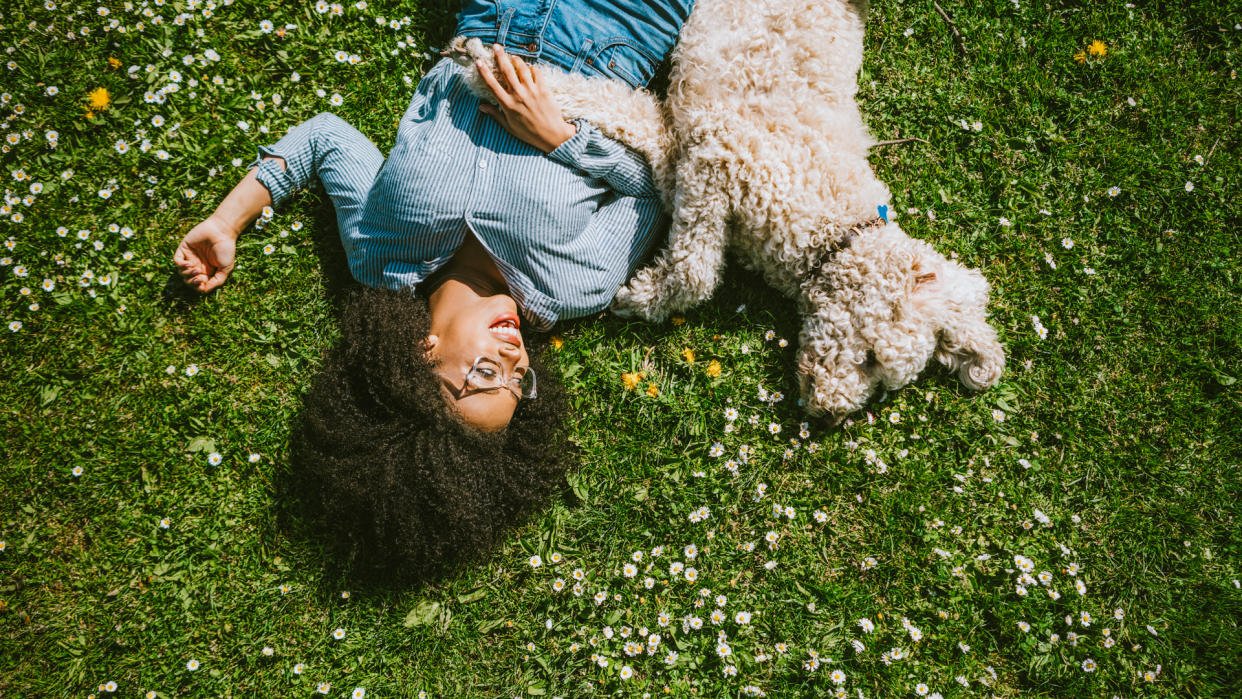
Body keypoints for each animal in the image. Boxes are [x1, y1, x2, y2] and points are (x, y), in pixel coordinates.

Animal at [442, 0, 1003, 419]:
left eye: (883, 381)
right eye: (868, 358)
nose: (828, 415)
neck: (834, 227)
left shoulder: (684, 150)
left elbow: (633, 119)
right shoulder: (720, 154)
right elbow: (697, 269)